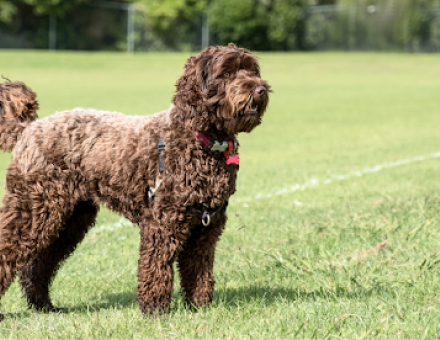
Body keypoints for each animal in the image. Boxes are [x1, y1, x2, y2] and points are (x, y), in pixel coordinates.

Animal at [0, 43, 270, 318]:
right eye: (226, 73)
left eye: (252, 70)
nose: (260, 89)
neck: (200, 141)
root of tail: (28, 128)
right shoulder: (162, 223)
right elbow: (156, 267)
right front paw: (155, 309)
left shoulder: (207, 227)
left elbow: (199, 269)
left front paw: (199, 306)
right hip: (32, 209)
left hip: (70, 219)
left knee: (38, 265)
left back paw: (43, 305)